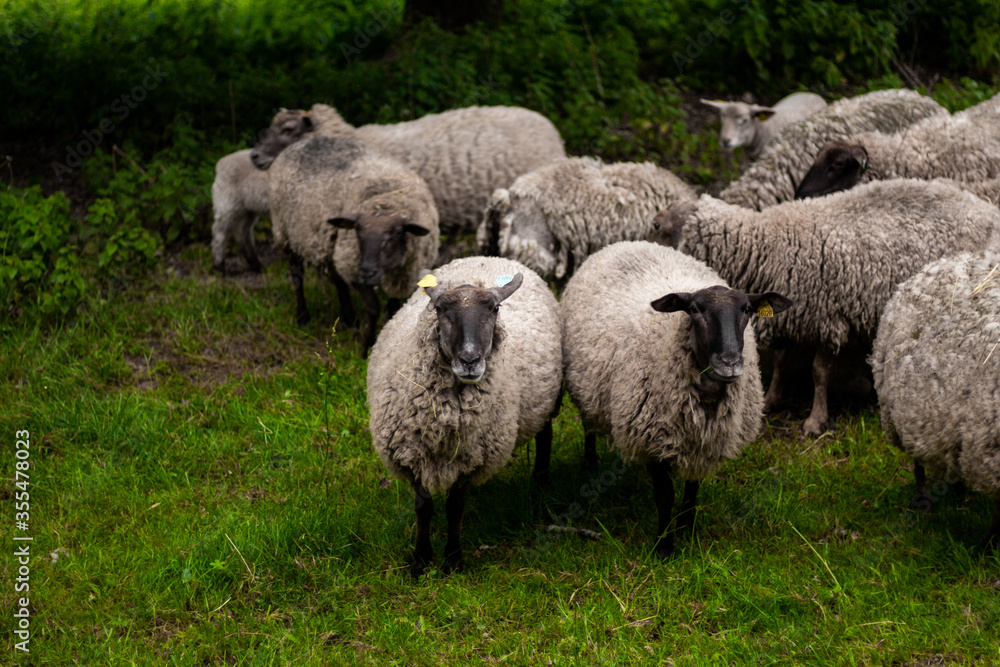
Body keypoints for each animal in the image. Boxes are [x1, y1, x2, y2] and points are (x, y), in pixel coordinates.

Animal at [268, 135, 439, 350]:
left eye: (398, 232)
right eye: (357, 230)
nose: (367, 272)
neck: (387, 198)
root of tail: (303, 140)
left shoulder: (402, 276)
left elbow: (391, 309)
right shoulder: (352, 267)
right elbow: (373, 308)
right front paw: (366, 344)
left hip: (330, 245)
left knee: (337, 280)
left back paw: (349, 318)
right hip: (287, 233)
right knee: (296, 275)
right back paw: (302, 316)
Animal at [367, 256, 562, 576]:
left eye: (495, 309)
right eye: (439, 309)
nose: (469, 360)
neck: (445, 419)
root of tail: (493, 257)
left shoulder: (470, 458)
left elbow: (455, 507)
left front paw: (453, 560)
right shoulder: (412, 453)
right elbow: (423, 507)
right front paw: (420, 560)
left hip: (547, 399)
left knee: (545, 435)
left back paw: (540, 483)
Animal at [561, 241, 792, 558]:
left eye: (747, 309)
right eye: (694, 309)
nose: (730, 362)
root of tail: (625, 243)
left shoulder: (703, 440)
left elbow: (692, 489)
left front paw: (687, 529)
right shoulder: (652, 440)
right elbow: (665, 495)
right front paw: (664, 546)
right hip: (586, 388)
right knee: (588, 426)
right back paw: (590, 463)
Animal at [651, 179, 1000, 435]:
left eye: (662, 229)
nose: (652, 225)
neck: (765, 243)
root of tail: (985, 208)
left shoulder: (828, 318)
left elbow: (819, 373)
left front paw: (815, 421)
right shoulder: (790, 315)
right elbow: (781, 361)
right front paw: (773, 399)